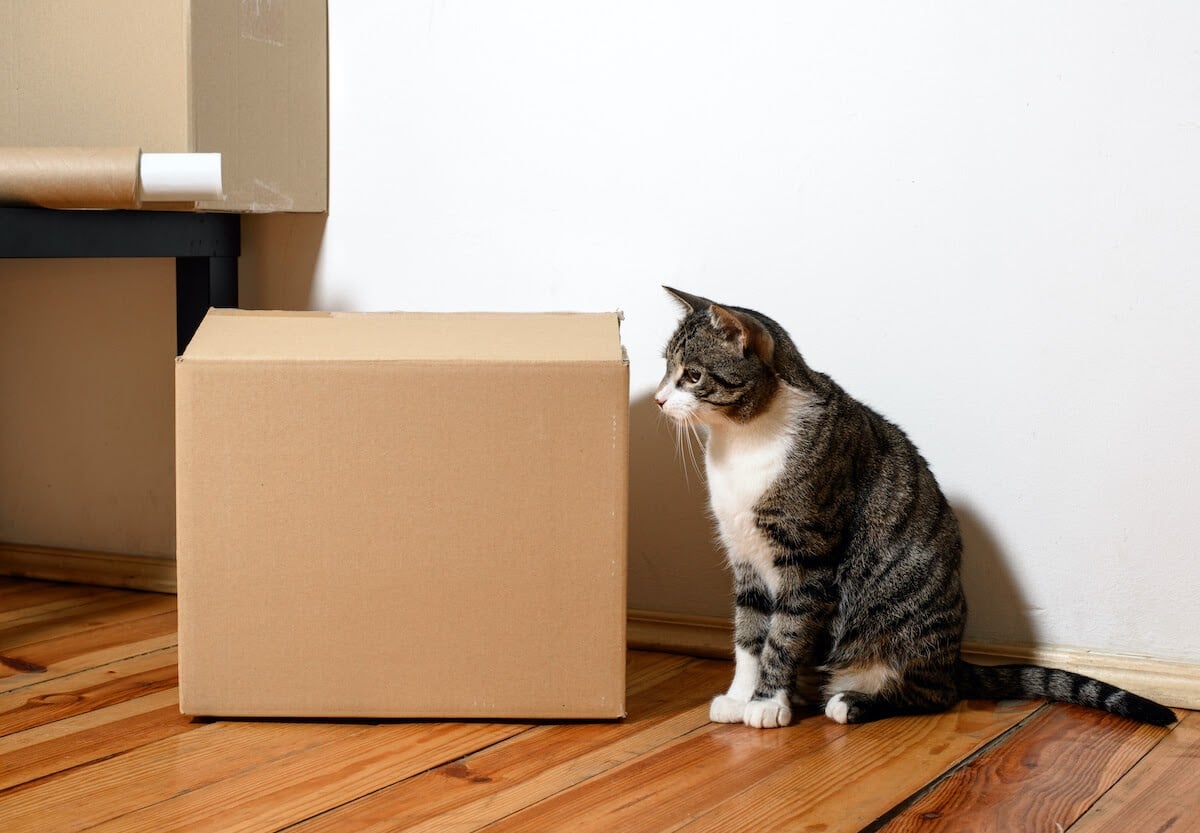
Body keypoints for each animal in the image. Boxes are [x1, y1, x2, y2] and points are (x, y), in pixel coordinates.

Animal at [657, 289, 1171, 729]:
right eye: (665, 367)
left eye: (693, 375)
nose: (660, 399)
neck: (741, 440)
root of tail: (954, 659)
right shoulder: (744, 554)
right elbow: (748, 635)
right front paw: (740, 696)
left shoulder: (807, 556)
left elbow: (783, 636)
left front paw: (767, 703)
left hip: (899, 626)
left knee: (935, 693)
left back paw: (852, 701)